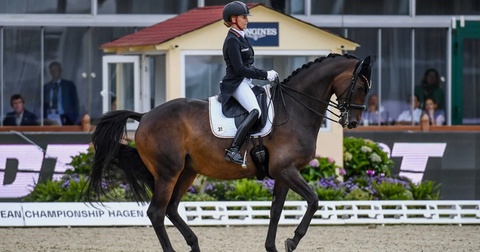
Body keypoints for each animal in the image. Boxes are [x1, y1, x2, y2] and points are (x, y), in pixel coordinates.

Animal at [87, 53, 376, 252]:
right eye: (361, 87)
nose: (352, 122)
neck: (294, 109)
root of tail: (145, 115)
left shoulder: (283, 173)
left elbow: (276, 210)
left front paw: (272, 246)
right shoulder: (287, 170)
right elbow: (314, 201)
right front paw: (292, 241)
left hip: (187, 172)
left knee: (171, 209)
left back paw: (194, 244)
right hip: (168, 173)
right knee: (157, 213)